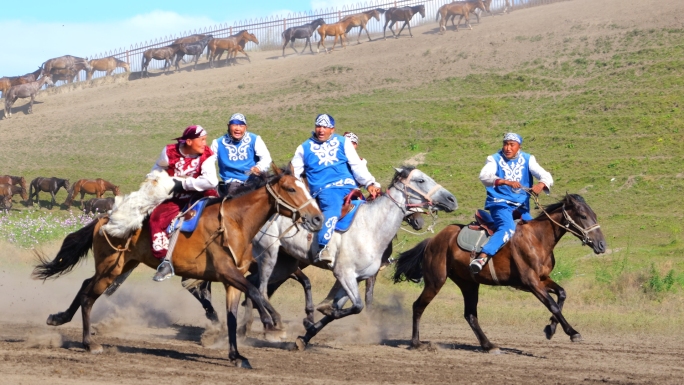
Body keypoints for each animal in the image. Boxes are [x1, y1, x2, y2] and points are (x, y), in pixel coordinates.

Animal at [34, 166, 326, 368]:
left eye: (305, 187)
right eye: (291, 189)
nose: (317, 218)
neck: (234, 222)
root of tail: (104, 219)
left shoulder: (232, 280)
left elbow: (233, 315)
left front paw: (236, 355)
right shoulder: (227, 272)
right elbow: (255, 292)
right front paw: (272, 322)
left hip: (118, 266)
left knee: (86, 286)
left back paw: (59, 318)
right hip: (110, 268)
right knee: (88, 296)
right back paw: (88, 343)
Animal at [248, 166, 456, 348]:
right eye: (420, 180)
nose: (451, 199)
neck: (370, 227)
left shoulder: (354, 278)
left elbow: (337, 309)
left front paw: (306, 334)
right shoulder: (344, 274)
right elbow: (357, 306)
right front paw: (315, 318)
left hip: (284, 265)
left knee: (253, 284)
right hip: (269, 256)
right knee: (261, 289)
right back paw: (270, 326)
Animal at [392, 194, 608, 352]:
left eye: (595, 215)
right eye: (582, 215)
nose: (601, 245)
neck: (537, 238)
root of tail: (433, 240)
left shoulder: (542, 279)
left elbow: (562, 294)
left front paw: (551, 328)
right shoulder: (531, 282)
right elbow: (553, 305)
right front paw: (572, 332)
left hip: (469, 284)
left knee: (470, 315)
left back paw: (488, 345)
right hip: (436, 281)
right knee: (418, 306)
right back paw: (416, 343)